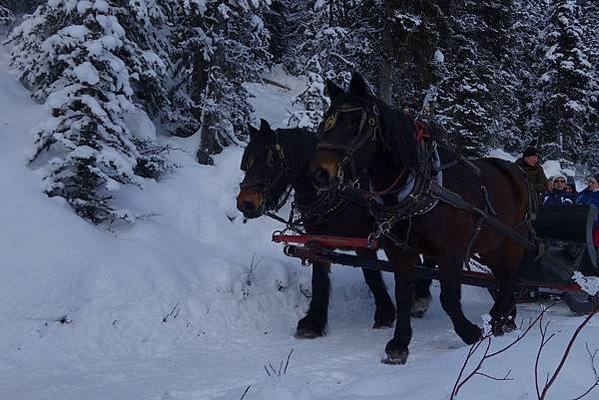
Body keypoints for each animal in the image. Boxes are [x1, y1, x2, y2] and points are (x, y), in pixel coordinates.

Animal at [238, 121, 436, 338]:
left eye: (271, 160)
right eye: (246, 162)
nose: (245, 204)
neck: (335, 193)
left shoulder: (364, 244)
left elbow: (371, 276)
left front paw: (385, 315)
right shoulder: (317, 242)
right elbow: (319, 279)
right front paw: (313, 323)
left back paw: (420, 298)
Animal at [310, 72, 536, 366]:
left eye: (352, 122)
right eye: (325, 121)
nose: (319, 174)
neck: (419, 185)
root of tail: (517, 171)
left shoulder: (450, 251)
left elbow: (449, 297)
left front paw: (470, 333)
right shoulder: (399, 250)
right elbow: (403, 295)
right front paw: (399, 344)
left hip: (512, 241)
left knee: (511, 278)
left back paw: (497, 318)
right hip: (491, 246)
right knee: (503, 278)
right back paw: (506, 319)